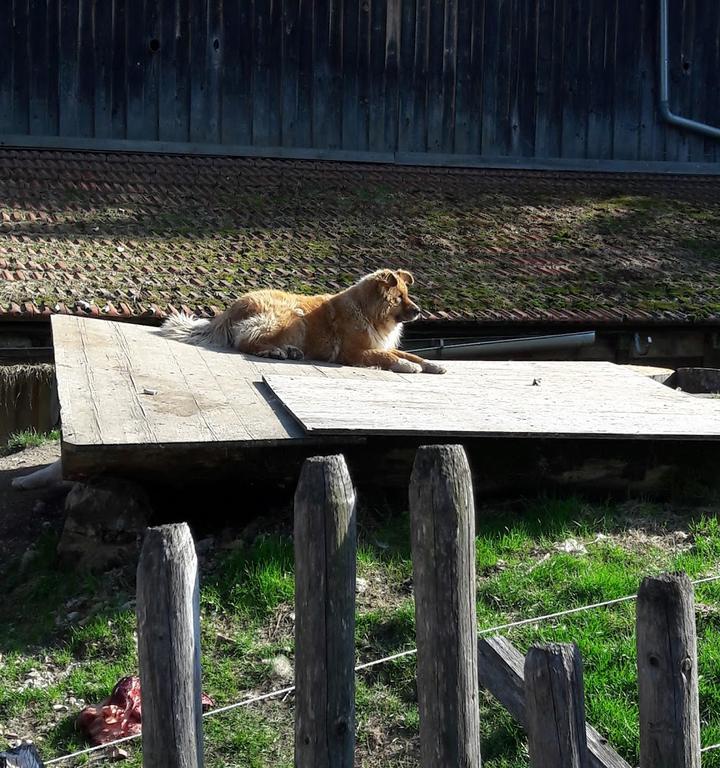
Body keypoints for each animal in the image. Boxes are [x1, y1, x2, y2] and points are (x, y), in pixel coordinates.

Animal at [160, 270, 444, 376]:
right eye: (399, 298)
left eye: (407, 295)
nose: (419, 311)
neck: (367, 310)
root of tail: (229, 310)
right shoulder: (354, 352)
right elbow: (387, 357)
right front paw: (407, 366)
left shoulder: (379, 344)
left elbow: (409, 353)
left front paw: (432, 364)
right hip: (292, 317)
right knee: (245, 342)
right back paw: (276, 351)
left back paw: (290, 351)